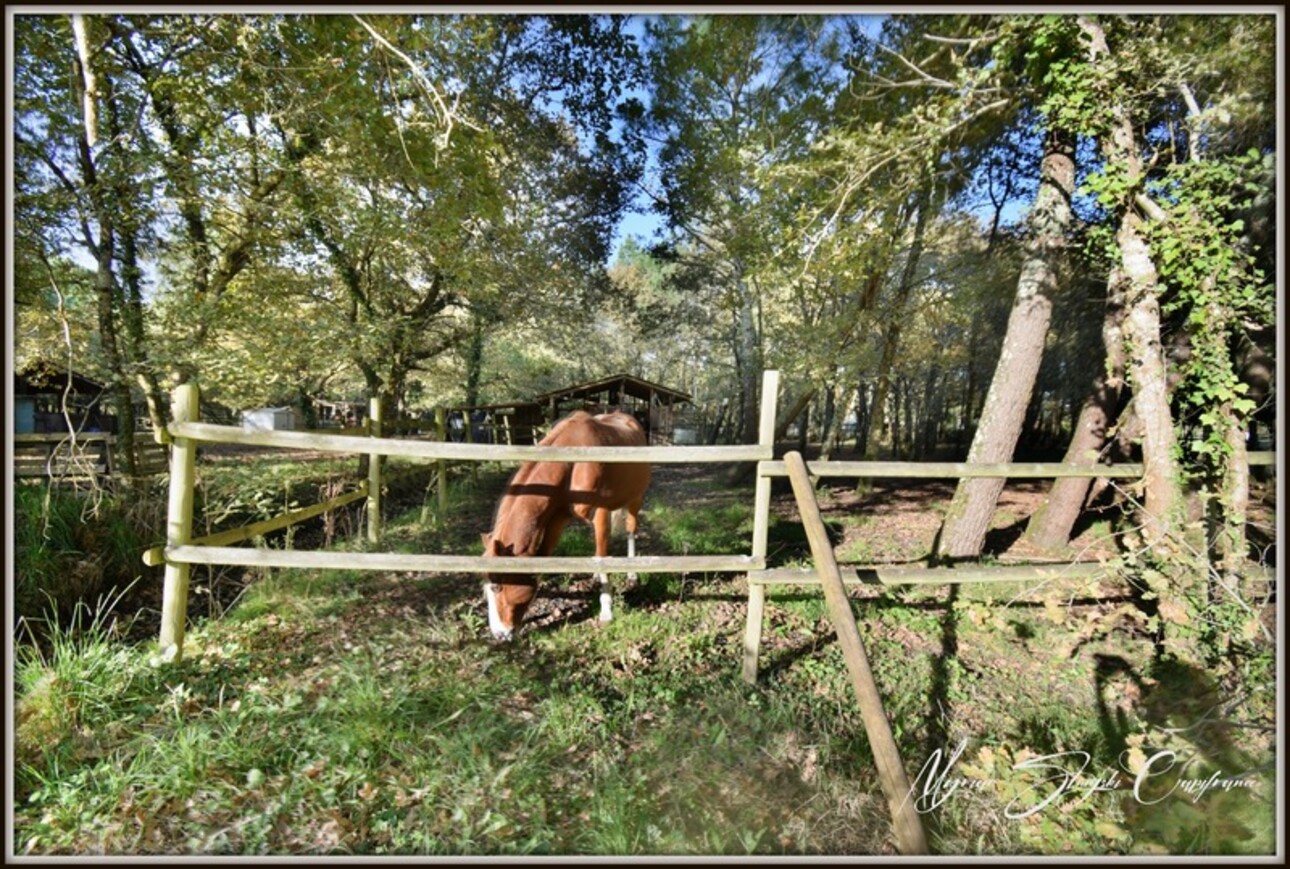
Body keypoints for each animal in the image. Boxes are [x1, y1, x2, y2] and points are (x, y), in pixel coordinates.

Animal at [479, 407, 650, 636]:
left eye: (497, 587)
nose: (500, 634)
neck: (572, 462)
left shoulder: (600, 513)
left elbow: (603, 558)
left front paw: (606, 611)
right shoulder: (559, 517)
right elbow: (546, 554)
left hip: (635, 499)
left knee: (631, 531)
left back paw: (631, 574)